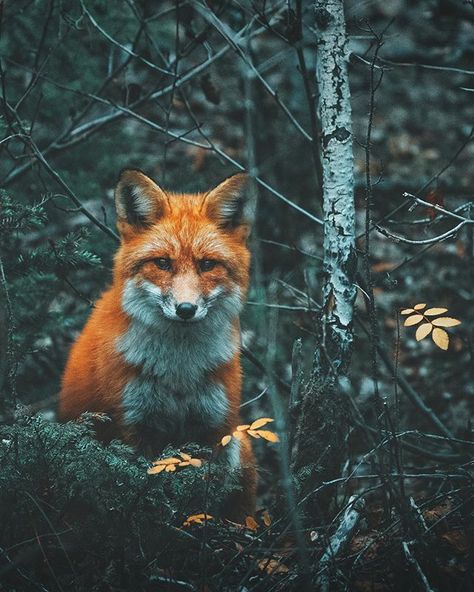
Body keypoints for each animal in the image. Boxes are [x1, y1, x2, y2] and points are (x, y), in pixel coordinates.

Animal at [60, 169, 260, 516]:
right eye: (163, 263)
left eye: (207, 265)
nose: (186, 309)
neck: (179, 373)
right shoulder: (132, 425)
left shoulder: (214, 427)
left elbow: (203, 494)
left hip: (238, 445)